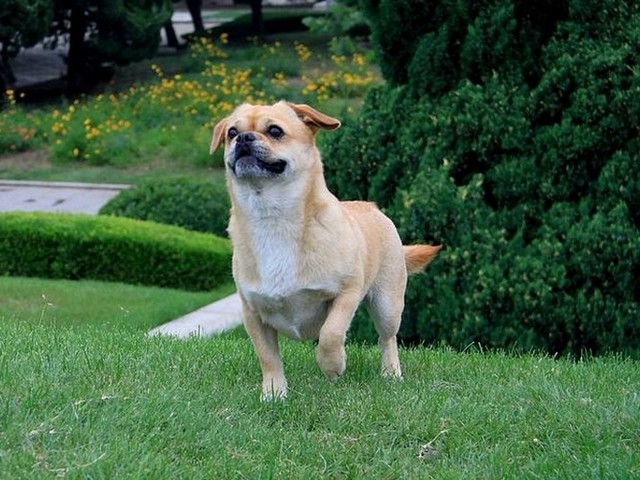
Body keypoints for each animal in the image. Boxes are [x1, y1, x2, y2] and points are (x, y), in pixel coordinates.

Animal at [210, 102, 440, 402]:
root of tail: (371, 206)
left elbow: (331, 333)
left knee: (386, 339)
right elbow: (267, 356)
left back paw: (391, 373)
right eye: (232, 133)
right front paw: (274, 394)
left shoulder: (347, 292)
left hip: (387, 305)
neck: (272, 216)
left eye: (275, 131)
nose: (244, 138)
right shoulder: (252, 313)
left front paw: (333, 366)